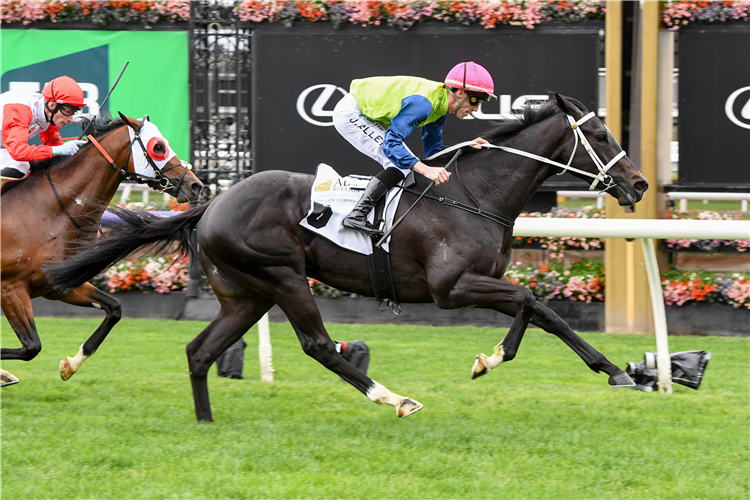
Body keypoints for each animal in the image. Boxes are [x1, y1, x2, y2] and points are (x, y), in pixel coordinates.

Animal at [0, 112, 203, 386]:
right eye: (158, 147)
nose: (196, 185)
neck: (46, 211)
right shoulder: (10, 288)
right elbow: (31, 347)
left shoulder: (56, 284)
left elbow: (114, 308)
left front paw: (69, 365)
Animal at [44, 94, 648, 422]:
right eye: (599, 132)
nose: (640, 183)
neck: (474, 195)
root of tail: (213, 203)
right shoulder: (452, 289)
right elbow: (528, 300)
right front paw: (492, 359)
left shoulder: (479, 282)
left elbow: (542, 311)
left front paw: (616, 372)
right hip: (283, 277)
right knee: (317, 345)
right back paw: (394, 398)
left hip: (247, 294)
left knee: (199, 351)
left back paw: (206, 421)